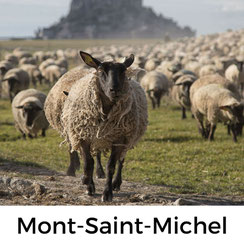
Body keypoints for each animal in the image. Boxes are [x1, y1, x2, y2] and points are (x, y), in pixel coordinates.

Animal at [44, 51, 148, 202]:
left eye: (123, 71)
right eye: (100, 70)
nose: (115, 90)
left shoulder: (119, 138)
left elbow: (111, 165)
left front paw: (107, 193)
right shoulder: (83, 136)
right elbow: (88, 163)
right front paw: (89, 186)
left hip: (128, 137)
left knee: (121, 160)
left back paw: (116, 183)